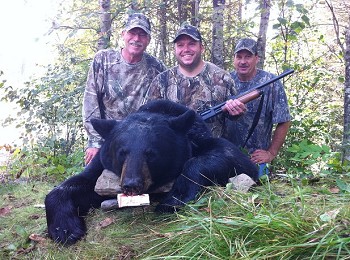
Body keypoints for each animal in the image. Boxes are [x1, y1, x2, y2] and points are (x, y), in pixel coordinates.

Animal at [44, 100, 258, 245]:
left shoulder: (200, 138)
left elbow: (235, 159)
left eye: (151, 153)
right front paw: (65, 229)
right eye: (122, 152)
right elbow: (77, 184)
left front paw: (174, 199)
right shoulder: (102, 163)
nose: (131, 184)